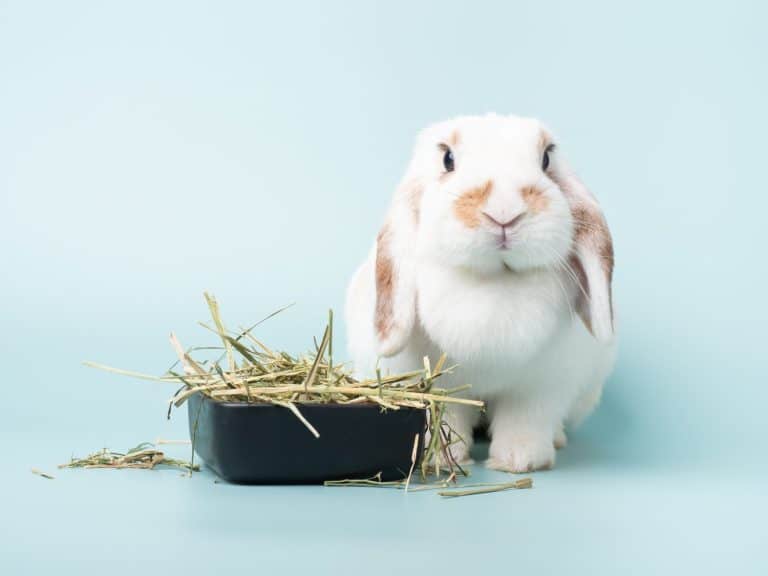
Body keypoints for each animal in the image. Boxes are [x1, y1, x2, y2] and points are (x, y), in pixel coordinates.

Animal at [345, 114, 617, 473]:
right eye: (447, 159)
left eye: (546, 159)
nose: (505, 212)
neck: (493, 281)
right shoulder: (438, 384)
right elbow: (445, 418)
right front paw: (441, 458)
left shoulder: (540, 386)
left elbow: (524, 420)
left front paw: (520, 461)